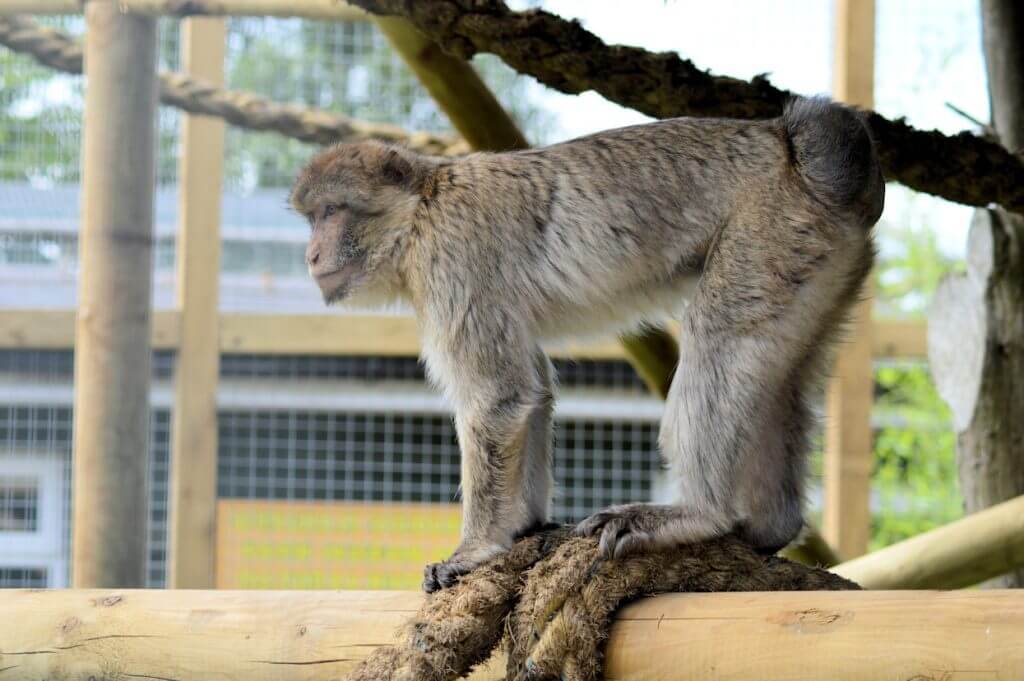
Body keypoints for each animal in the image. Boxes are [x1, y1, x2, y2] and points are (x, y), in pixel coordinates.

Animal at [292, 95, 884, 589]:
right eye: (312, 217)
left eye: (332, 212)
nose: (311, 255)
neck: (422, 211)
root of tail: (790, 147)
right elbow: (529, 394)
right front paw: (525, 527)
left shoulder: (453, 261)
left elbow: (499, 399)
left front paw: (474, 549)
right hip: (819, 256)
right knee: (783, 373)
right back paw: (770, 528)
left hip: (770, 235)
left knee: (719, 332)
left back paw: (700, 514)